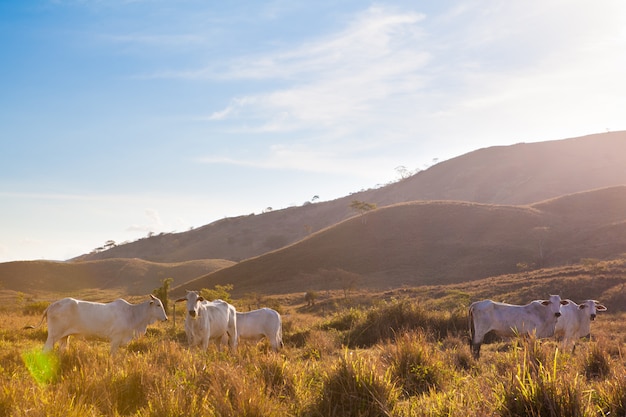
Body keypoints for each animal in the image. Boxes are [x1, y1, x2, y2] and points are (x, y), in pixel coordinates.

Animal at [24, 292, 168, 354]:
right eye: (158, 305)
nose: (166, 318)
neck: (132, 314)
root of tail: (51, 306)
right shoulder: (115, 339)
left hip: (64, 337)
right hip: (53, 336)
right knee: (46, 350)